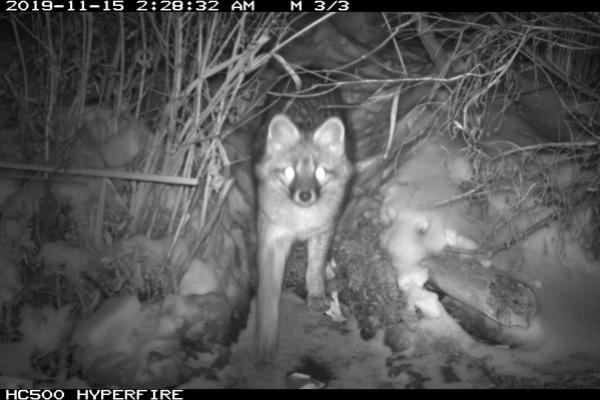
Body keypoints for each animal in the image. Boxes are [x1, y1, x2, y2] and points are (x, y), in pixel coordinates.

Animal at [252, 79, 352, 362]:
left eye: (320, 172)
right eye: (289, 171)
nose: (305, 195)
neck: (300, 221)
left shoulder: (323, 230)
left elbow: (314, 267)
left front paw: (316, 294)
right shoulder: (271, 237)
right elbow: (268, 289)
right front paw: (266, 335)